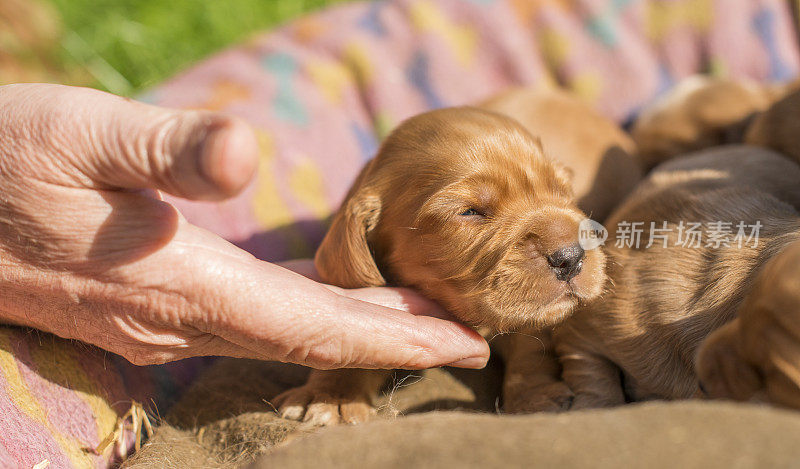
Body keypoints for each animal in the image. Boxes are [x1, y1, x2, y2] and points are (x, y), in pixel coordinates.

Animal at [276, 89, 636, 422]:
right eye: (470, 212)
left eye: (562, 192)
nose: (571, 257)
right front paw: (332, 393)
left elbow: (530, 347)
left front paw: (534, 398)